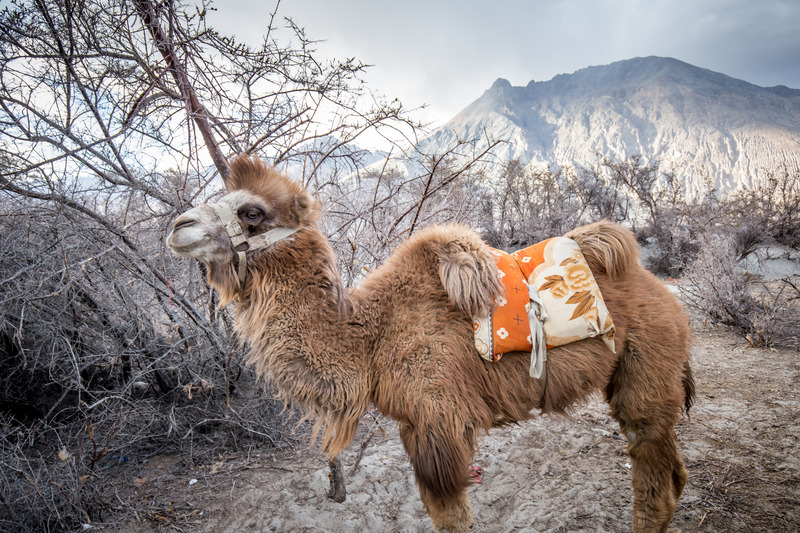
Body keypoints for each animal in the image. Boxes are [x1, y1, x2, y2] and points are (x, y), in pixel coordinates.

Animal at [167, 156, 692, 532]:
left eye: (251, 212)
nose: (178, 226)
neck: (370, 340)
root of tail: (664, 294)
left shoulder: (439, 420)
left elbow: (452, 518)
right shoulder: (412, 424)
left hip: (649, 360)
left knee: (651, 466)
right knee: (673, 473)